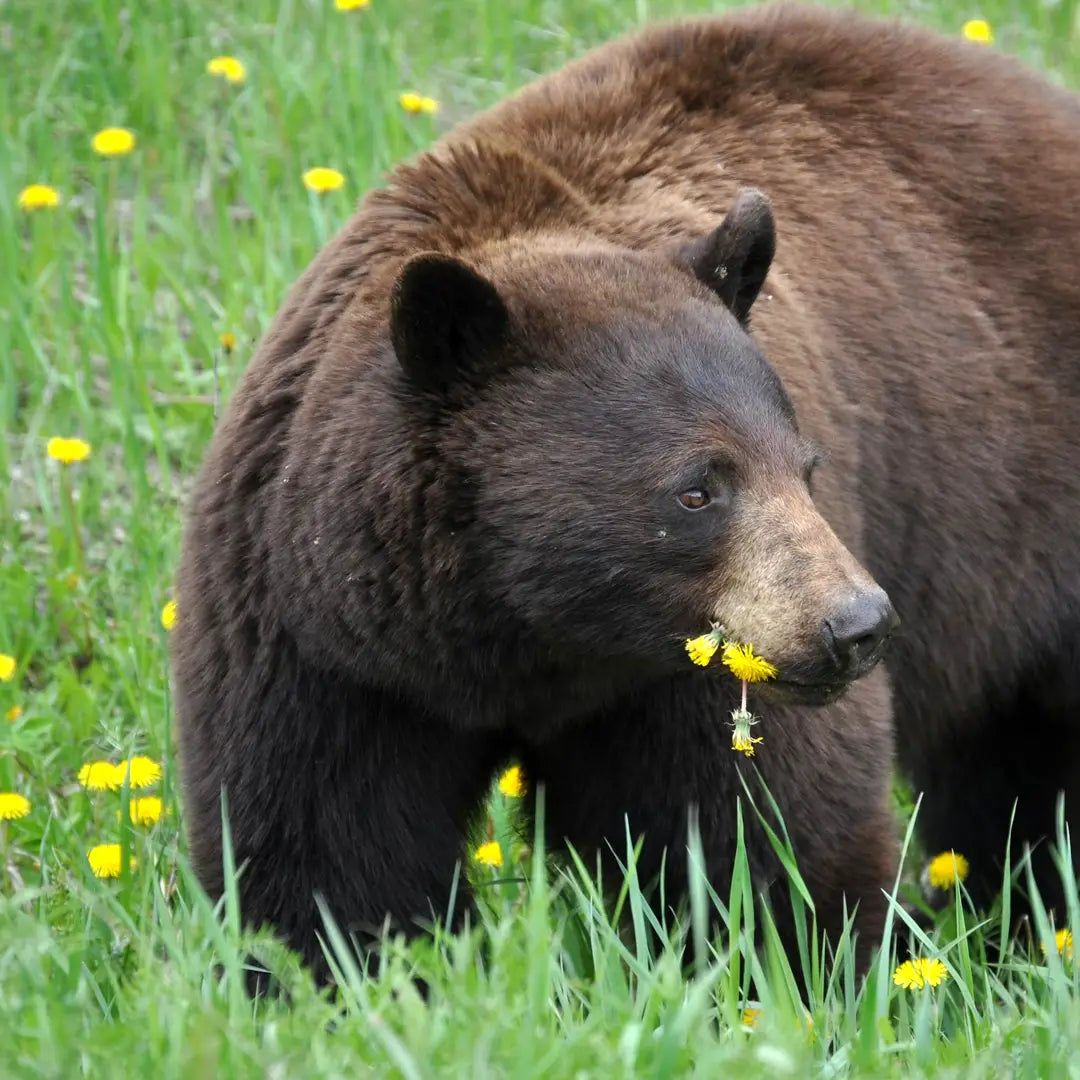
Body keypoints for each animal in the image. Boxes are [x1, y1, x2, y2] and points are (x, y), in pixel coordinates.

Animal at [172, 1, 1080, 988]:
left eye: (806, 466)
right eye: (697, 490)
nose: (855, 625)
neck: (524, 644)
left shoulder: (690, 671)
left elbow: (760, 832)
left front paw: (804, 968)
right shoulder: (321, 643)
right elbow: (326, 850)